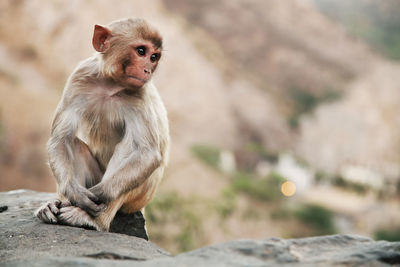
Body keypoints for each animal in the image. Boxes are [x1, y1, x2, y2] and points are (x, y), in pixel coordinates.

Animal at [34, 18, 170, 234]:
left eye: (154, 57)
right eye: (141, 51)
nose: (147, 70)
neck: (111, 84)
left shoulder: (140, 94)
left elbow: (147, 154)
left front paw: (98, 194)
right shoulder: (79, 77)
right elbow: (60, 139)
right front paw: (76, 195)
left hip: (139, 197)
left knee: (129, 147)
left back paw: (91, 219)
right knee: (73, 143)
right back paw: (55, 206)